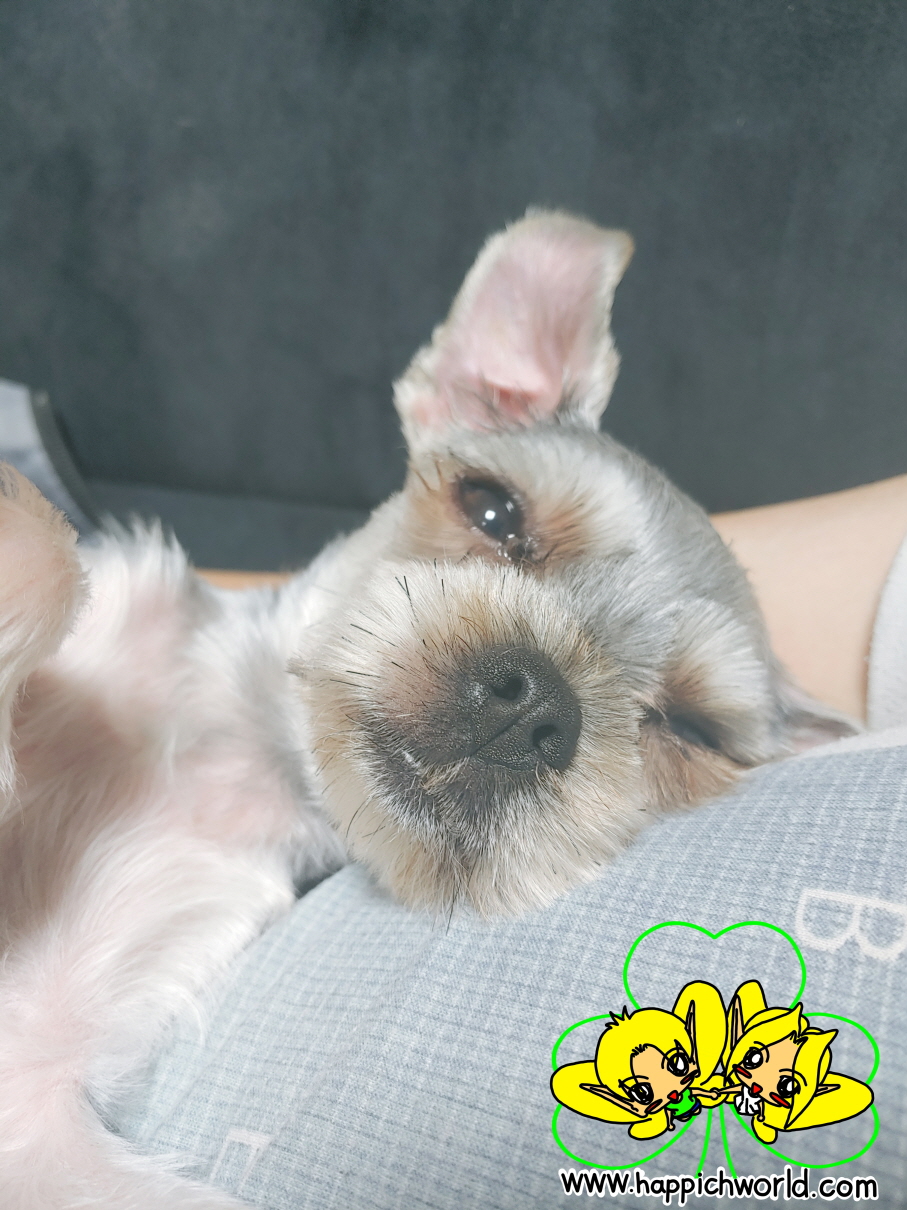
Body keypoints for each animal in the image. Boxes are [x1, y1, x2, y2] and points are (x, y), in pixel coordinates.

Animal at [0, 211, 849, 1207]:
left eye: (689, 730)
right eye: (490, 506)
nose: (535, 705)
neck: (233, 755)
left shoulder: (40, 1105)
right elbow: (47, 557)